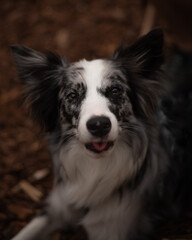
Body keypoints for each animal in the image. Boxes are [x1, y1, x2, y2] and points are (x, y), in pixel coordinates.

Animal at [10, 29, 192, 240]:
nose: (99, 125)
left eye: (115, 90)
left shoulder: (113, 227)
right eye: (72, 95)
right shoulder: (58, 207)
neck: (95, 167)